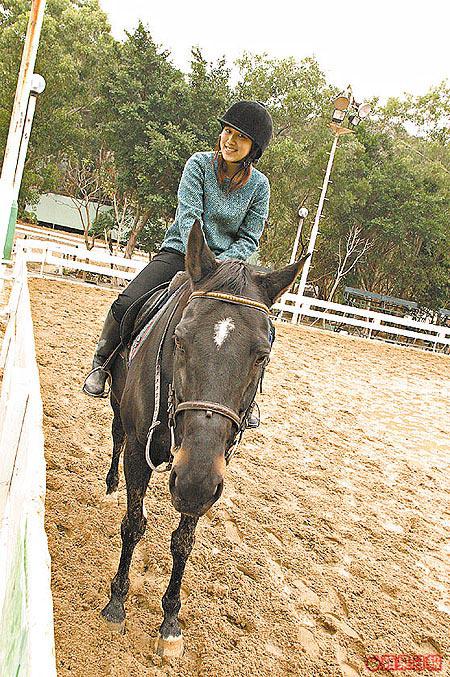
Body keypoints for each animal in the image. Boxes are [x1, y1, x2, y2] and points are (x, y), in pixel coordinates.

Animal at [101, 220, 308, 657]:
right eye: (179, 339)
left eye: (262, 355)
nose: (193, 481)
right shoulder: (142, 455)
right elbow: (133, 524)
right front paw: (117, 602)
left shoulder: (207, 473)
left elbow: (183, 541)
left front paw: (170, 621)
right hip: (116, 404)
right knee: (116, 438)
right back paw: (109, 485)